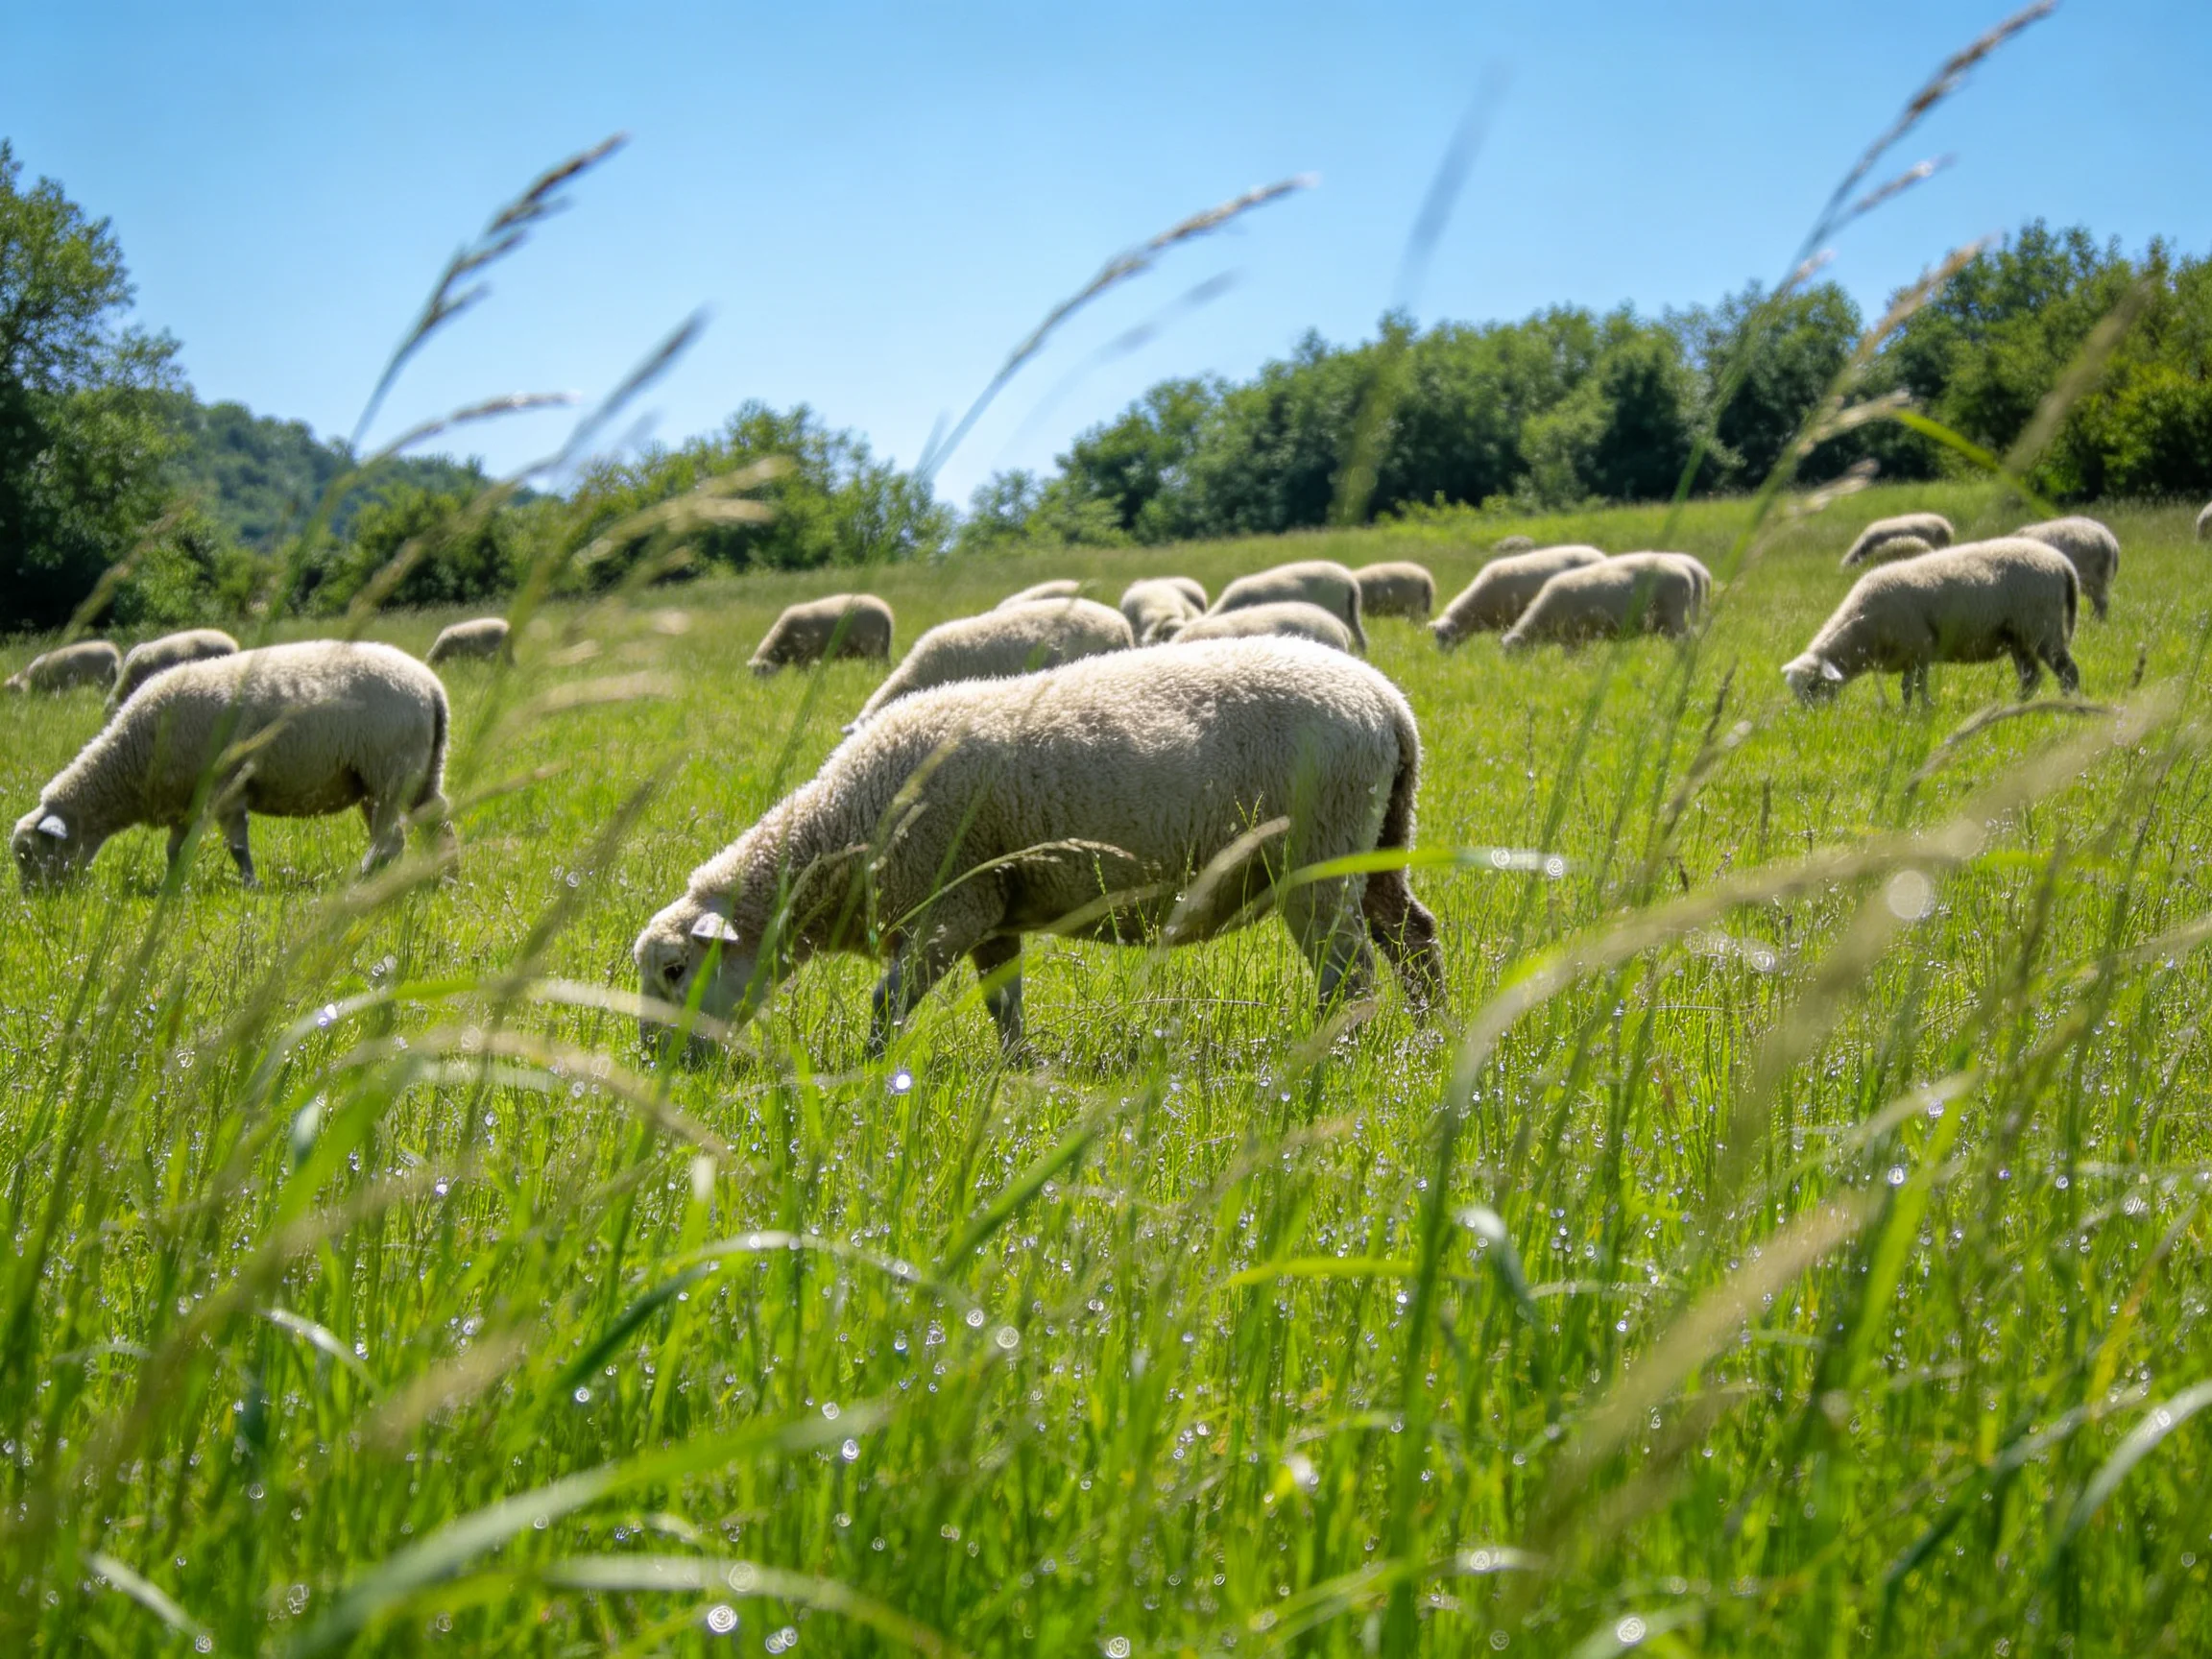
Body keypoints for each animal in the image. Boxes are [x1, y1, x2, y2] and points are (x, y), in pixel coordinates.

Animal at [13, 641, 454, 891]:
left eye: (30, 855)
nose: (36, 904)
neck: (134, 755)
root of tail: (431, 687)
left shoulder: (224, 789)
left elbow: (236, 846)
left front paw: (250, 886)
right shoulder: (185, 801)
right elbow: (175, 850)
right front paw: (172, 887)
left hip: (389, 771)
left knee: (391, 839)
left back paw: (362, 881)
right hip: (414, 773)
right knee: (436, 821)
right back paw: (445, 875)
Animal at [634, 637, 1443, 1060]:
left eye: (675, 971)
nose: (652, 1061)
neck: (844, 836)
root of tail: (1388, 704)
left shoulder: (950, 907)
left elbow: (886, 1000)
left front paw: (867, 1074)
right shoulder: (992, 910)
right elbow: (1004, 1003)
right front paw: (1019, 1070)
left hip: (1320, 850)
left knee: (1349, 972)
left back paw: (1334, 1054)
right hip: (1381, 836)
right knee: (1413, 936)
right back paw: (1431, 1039)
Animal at [748, 594, 896, 676]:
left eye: (761, 672)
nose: (763, 691)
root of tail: (886, 613)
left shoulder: (805, 656)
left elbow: (803, 674)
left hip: (872, 645)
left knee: (875, 665)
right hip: (882, 647)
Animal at [1781, 537, 2079, 707]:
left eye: (1813, 686)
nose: (1811, 719)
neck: (1862, 626)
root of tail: (2062, 563)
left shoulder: (1919, 648)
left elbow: (1914, 687)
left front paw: (1922, 712)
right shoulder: (1908, 655)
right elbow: (1906, 689)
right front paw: (1908, 713)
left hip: (2041, 626)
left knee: (2067, 671)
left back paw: (2069, 705)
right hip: (2019, 637)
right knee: (2031, 677)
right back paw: (2017, 706)